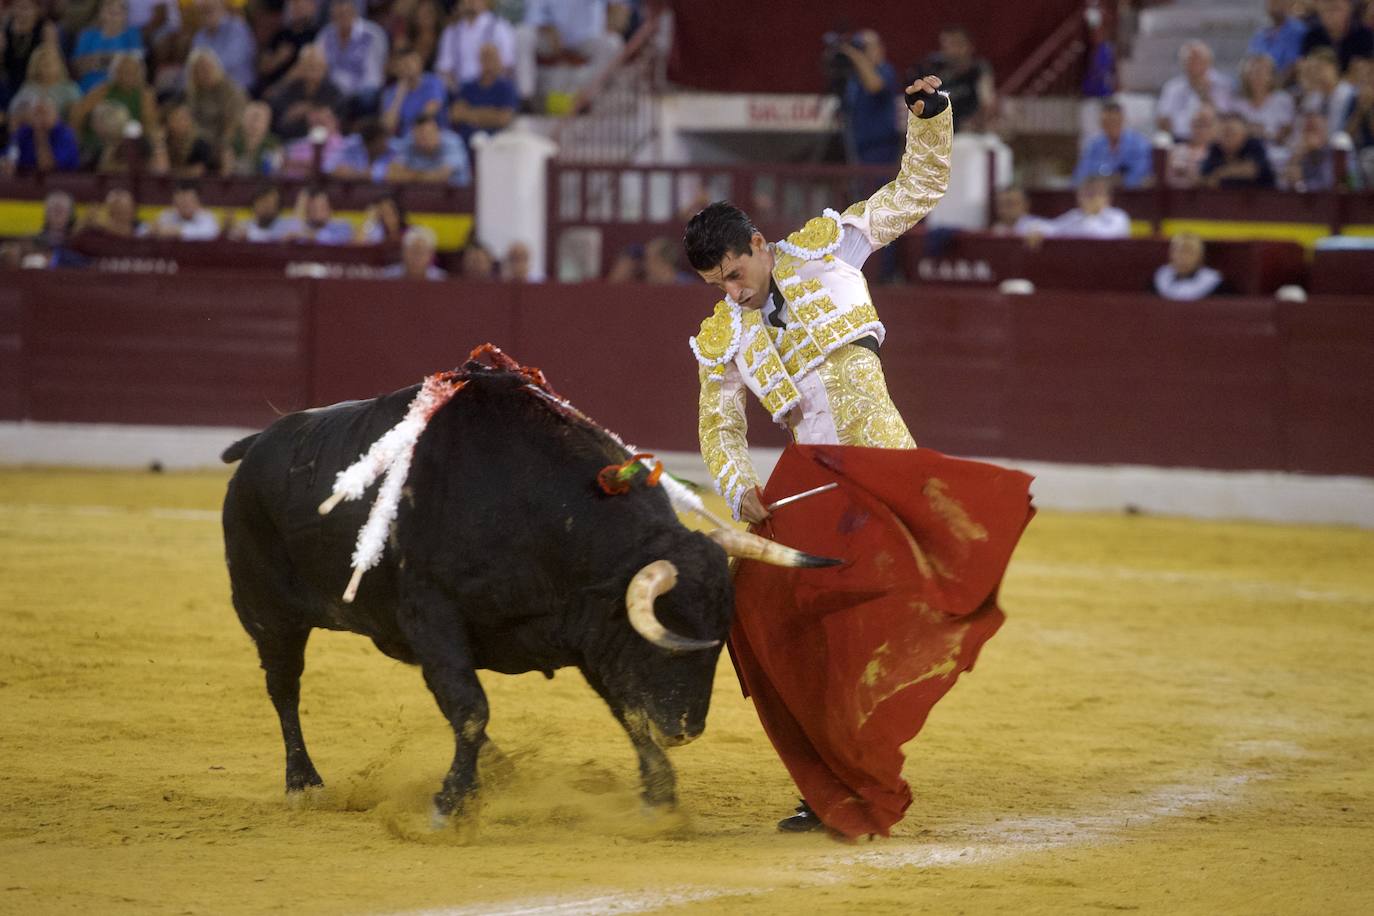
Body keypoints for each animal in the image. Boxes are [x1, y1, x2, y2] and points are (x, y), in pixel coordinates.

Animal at [222, 348, 835, 823]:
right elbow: (471, 708)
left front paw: (659, 803)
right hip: (268, 615)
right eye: (672, 635)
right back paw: (303, 784)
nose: (685, 730)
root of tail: (256, 445)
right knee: (285, 688)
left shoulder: (587, 631)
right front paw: (449, 807)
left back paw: (502, 772)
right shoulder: (433, 613)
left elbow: (625, 710)